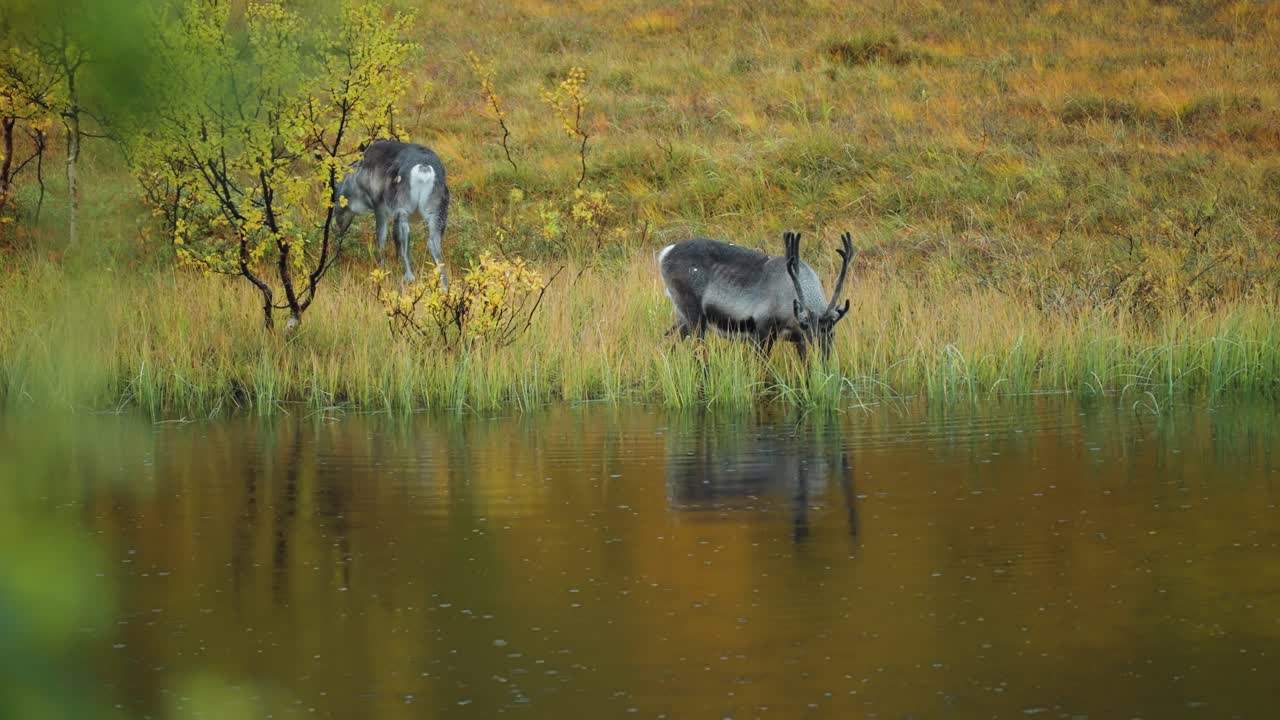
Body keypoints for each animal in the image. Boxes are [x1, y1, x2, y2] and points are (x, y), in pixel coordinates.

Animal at [333, 139, 451, 288]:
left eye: (335, 200)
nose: (336, 230)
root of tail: (424, 169)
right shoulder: (393, 213)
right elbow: (394, 238)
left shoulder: (379, 205)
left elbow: (381, 239)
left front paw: (381, 269)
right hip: (438, 211)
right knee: (433, 243)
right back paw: (445, 287)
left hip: (402, 205)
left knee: (405, 233)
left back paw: (409, 277)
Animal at [656, 230, 856, 361]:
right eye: (807, 326)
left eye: (832, 329)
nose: (824, 356)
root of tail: (664, 254)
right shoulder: (763, 332)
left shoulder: (798, 339)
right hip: (695, 317)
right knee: (697, 353)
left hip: (682, 317)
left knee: (668, 343)